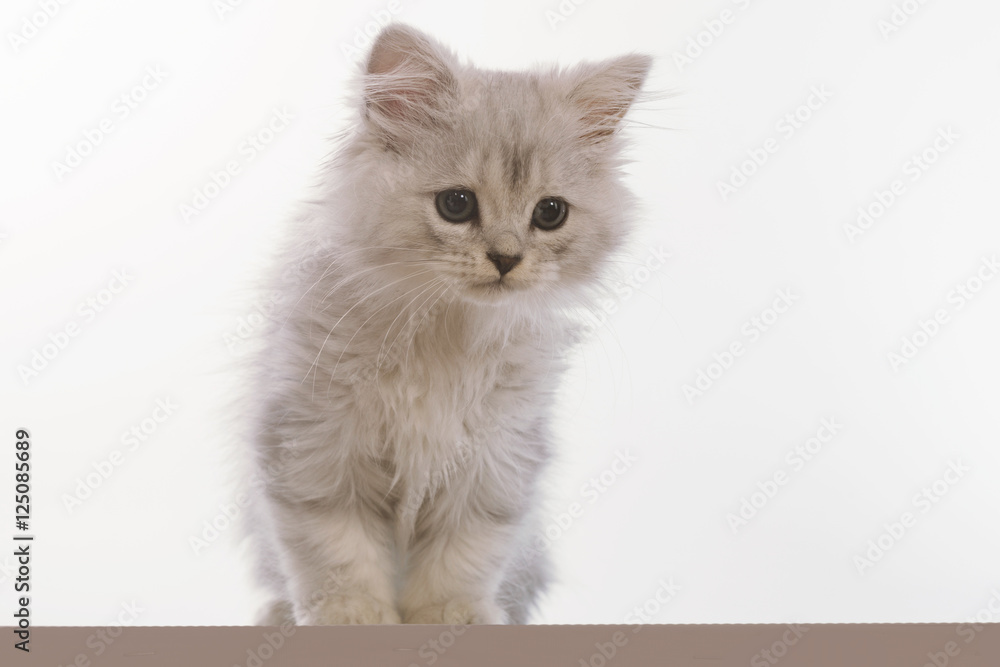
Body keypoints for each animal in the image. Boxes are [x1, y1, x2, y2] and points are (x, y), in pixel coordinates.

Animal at [246, 22, 652, 628]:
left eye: (550, 213)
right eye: (456, 204)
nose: (506, 259)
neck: (445, 335)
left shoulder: (495, 459)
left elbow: (463, 558)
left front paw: (452, 617)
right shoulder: (314, 441)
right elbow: (336, 551)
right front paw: (351, 616)